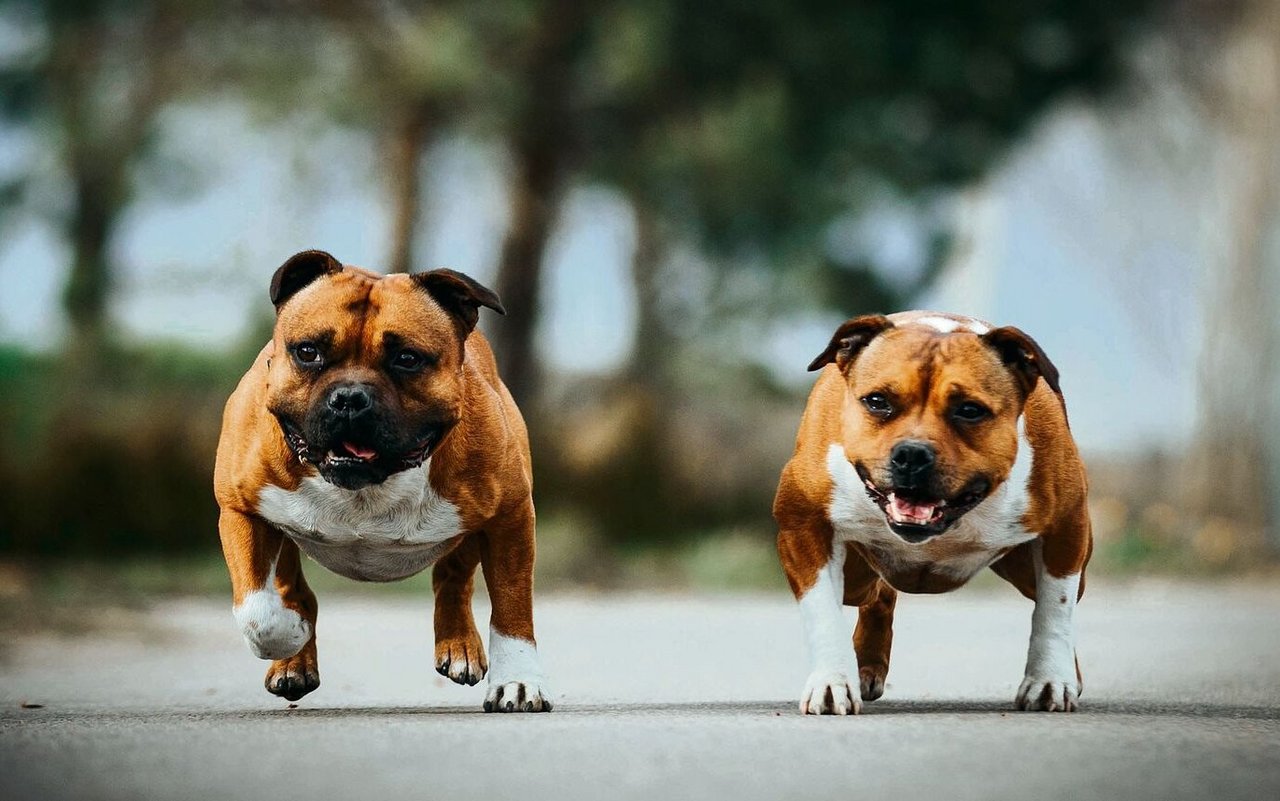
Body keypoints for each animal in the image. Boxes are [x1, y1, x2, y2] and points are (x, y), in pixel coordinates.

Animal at [211, 250, 550, 711]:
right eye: (308, 352)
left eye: (407, 358)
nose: (350, 398)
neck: (368, 486)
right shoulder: (241, 511)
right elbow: (258, 611)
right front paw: (289, 635)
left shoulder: (510, 519)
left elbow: (513, 609)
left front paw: (517, 682)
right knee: (292, 589)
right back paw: (293, 660)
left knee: (453, 579)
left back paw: (459, 646)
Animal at [768, 310, 1090, 711]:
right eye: (877, 401)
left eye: (969, 410)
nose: (911, 454)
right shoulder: (805, 529)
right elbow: (823, 611)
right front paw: (832, 682)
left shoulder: (1066, 530)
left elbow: (1055, 610)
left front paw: (1049, 680)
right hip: (857, 576)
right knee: (877, 595)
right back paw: (865, 667)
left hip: (1033, 567)